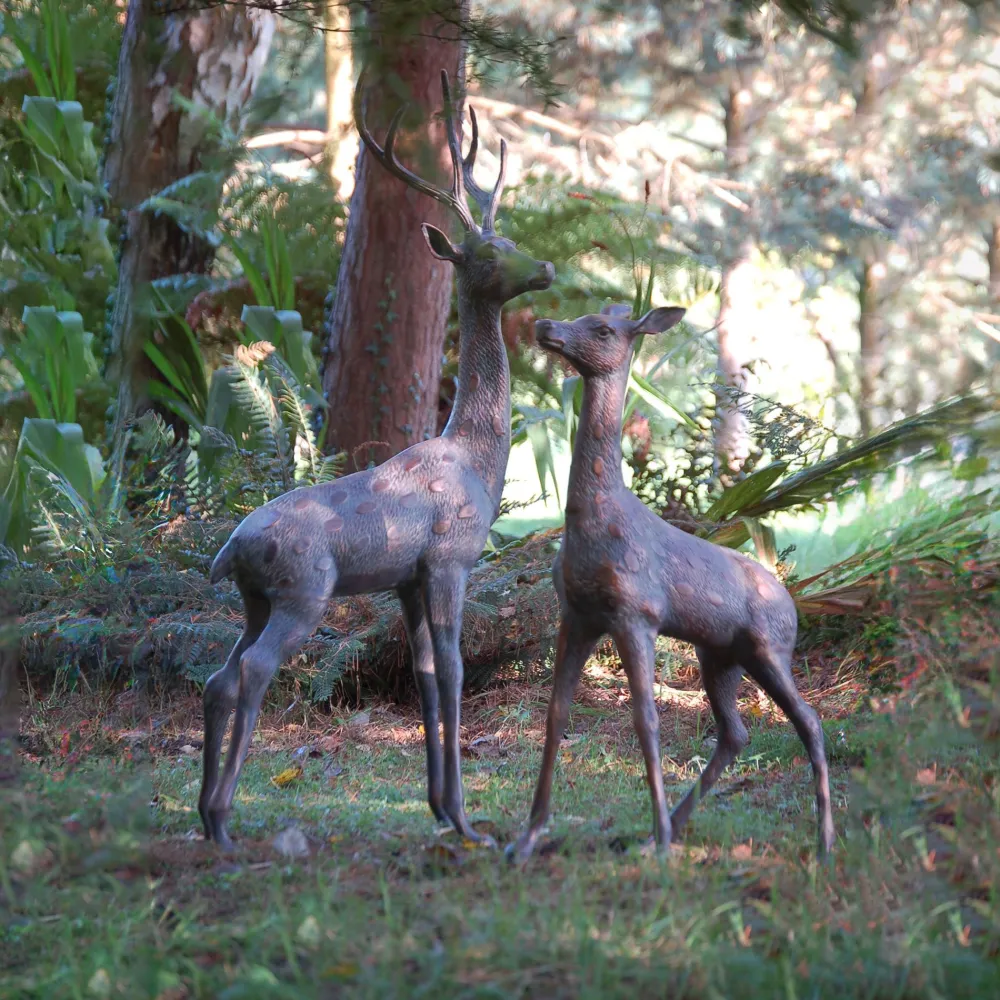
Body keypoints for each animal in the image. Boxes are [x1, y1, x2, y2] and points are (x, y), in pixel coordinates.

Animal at [198, 70, 555, 850]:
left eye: (513, 237)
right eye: (486, 256)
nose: (544, 266)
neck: (477, 458)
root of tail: (230, 551)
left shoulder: (406, 580)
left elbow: (423, 677)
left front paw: (442, 809)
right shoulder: (450, 557)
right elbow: (452, 671)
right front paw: (468, 822)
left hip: (254, 600)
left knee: (218, 675)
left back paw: (206, 816)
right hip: (304, 589)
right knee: (254, 671)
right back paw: (225, 818)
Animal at [508, 304, 835, 861]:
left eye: (603, 329)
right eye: (583, 314)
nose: (547, 327)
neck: (595, 523)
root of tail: (791, 603)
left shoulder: (636, 613)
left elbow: (646, 720)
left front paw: (656, 841)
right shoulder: (577, 614)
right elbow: (556, 714)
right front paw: (526, 839)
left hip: (769, 648)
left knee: (808, 720)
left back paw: (824, 841)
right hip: (720, 654)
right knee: (735, 733)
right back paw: (680, 825)